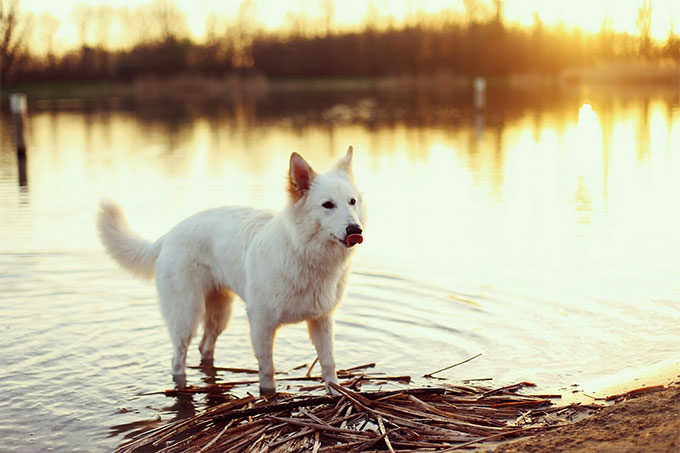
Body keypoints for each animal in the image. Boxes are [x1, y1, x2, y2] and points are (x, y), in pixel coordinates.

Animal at [97, 147, 364, 392]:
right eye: (327, 205)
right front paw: (269, 396)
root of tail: (169, 235)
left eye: (352, 202)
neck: (303, 251)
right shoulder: (261, 322)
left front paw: (337, 393)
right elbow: (267, 369)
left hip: (220, 313)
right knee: (177, 359)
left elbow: (328, 363)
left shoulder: (321, 320)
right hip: (186, 317)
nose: (356, 230)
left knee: (205, 346)